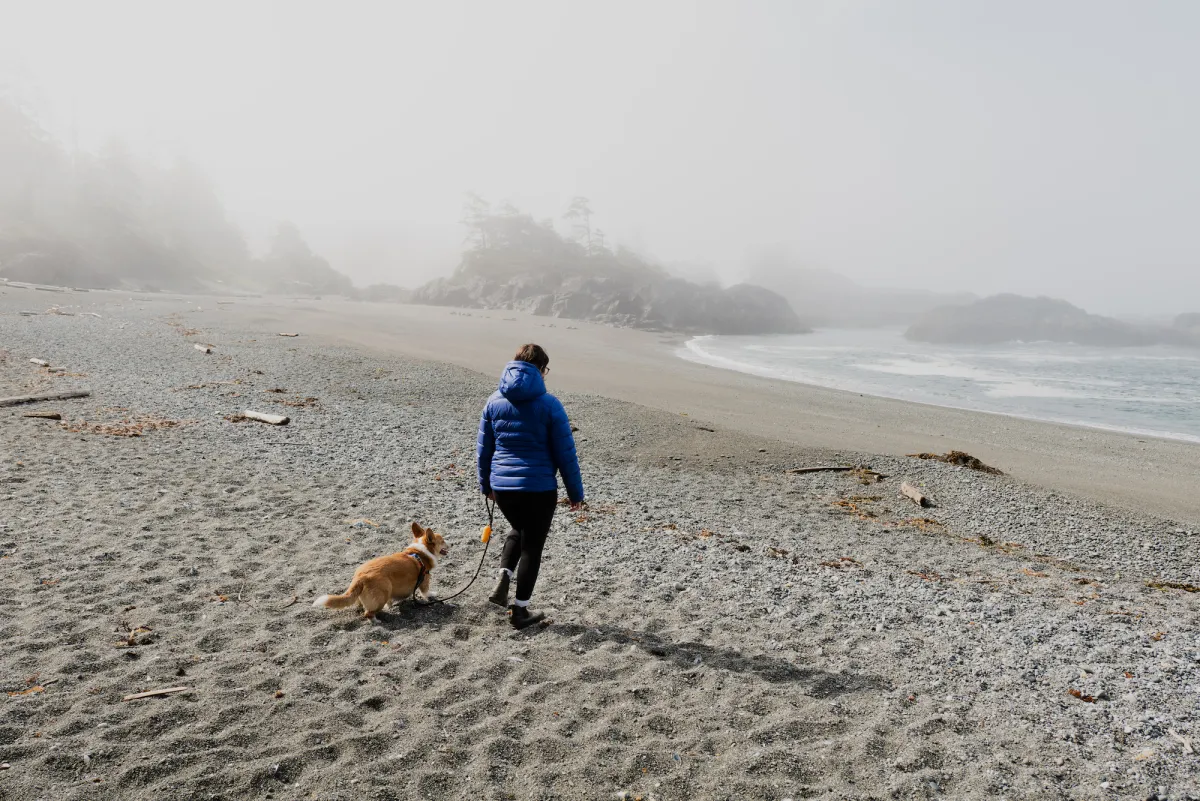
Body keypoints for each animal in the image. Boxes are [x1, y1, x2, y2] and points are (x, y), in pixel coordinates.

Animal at [314, 522, 451, 618]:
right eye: (443, 541)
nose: (452, 544)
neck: (420, 552)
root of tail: (360, 577)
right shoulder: (425, 579)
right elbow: (426, 592)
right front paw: (432, 595)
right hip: (383, 592)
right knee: (368, 613)